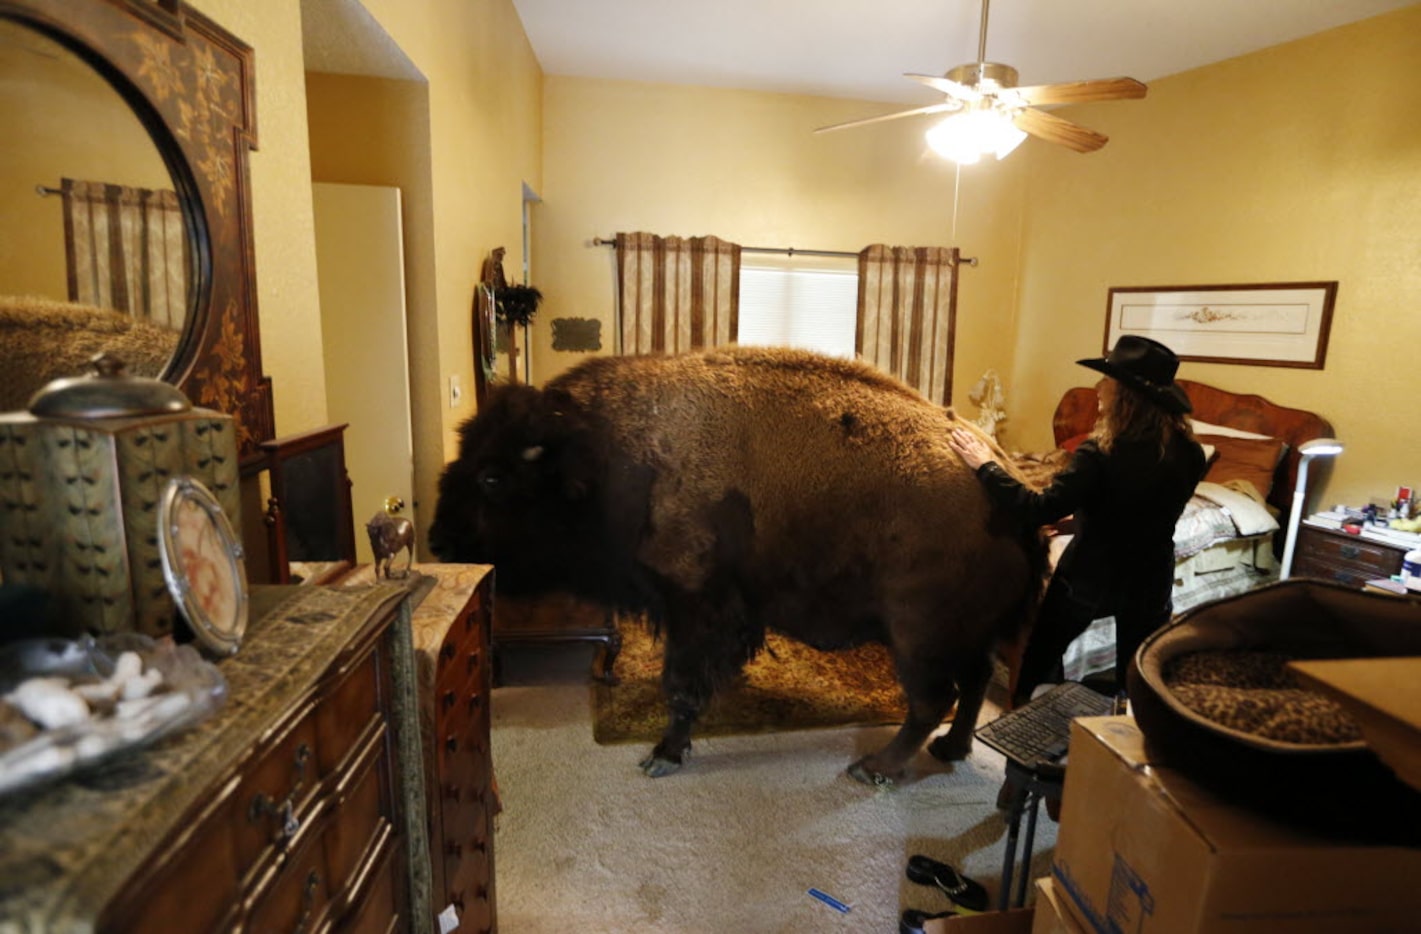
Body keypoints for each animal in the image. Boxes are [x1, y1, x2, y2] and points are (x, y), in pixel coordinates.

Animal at [429, 345, 1045, 784]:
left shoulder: (692, 606)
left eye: (492, 478)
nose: (437, 540)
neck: (605, 454)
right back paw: (951, 748)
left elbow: (680, 683)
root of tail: (1014, 487)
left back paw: (874, 768)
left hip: (919, 636)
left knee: (932, 698)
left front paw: (663, 754)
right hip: (973, 633)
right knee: (974, 683)